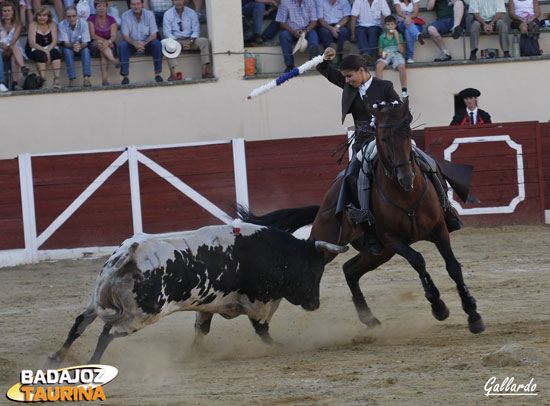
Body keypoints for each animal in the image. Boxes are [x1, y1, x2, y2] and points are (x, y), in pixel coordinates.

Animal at [48, 222, 350, 368]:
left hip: (97, 301)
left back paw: (56, 358)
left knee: (80, 323)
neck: (276, 254)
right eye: (314, 271)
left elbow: (201, 330)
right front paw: (279, 346)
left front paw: (192, 355)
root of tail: (128, 254)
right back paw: (92, 364)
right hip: (141, 314)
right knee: (107, 332)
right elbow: (262, 330)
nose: (314, 304)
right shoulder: (257, 302)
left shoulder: (208, 306)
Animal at [242, 100, 488, 334]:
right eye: (384, 138)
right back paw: (260, 325)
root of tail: (325, 204)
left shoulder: (438, 229)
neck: (406, 195)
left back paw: (369, 319)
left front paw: (473, 314)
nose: (406, 177)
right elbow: (418, 260)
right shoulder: (391, 238)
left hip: (379, 252)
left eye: (408, 134)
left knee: (349, 270)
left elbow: (453, 266)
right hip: (333, 243)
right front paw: (438, 307)